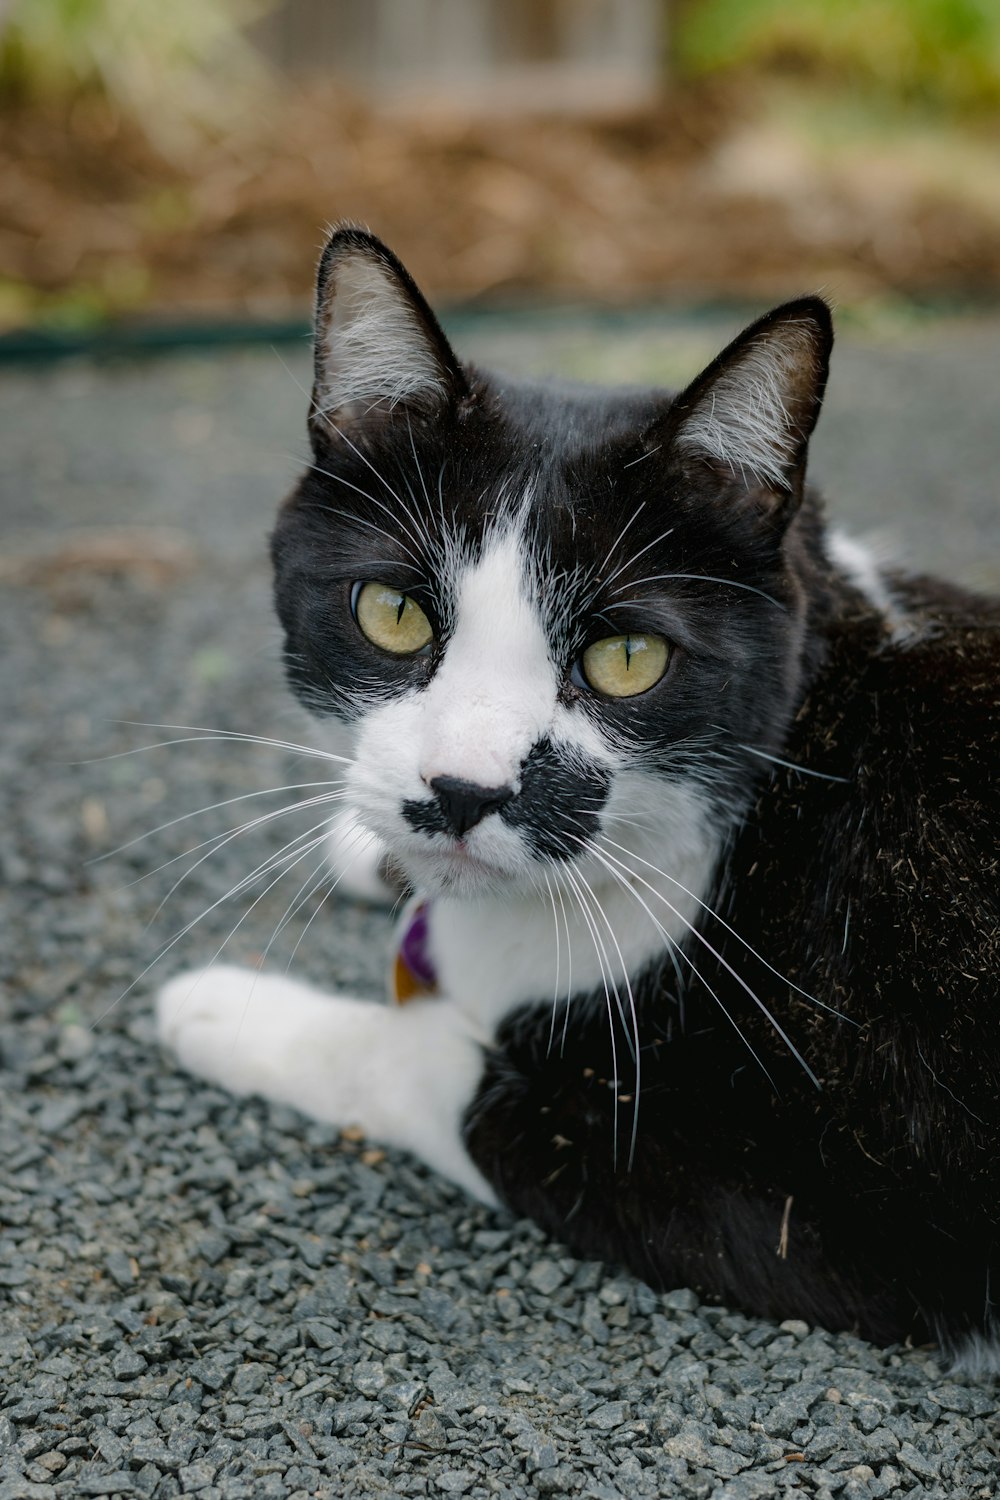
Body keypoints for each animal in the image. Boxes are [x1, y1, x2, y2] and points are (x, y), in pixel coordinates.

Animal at [156, 225, 1000, 1374]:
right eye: (391, 612)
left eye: (628, 658)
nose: (462, 792)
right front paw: (369, 852)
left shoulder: (829, 1207)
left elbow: (452, 1078)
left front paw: (230, 1009)